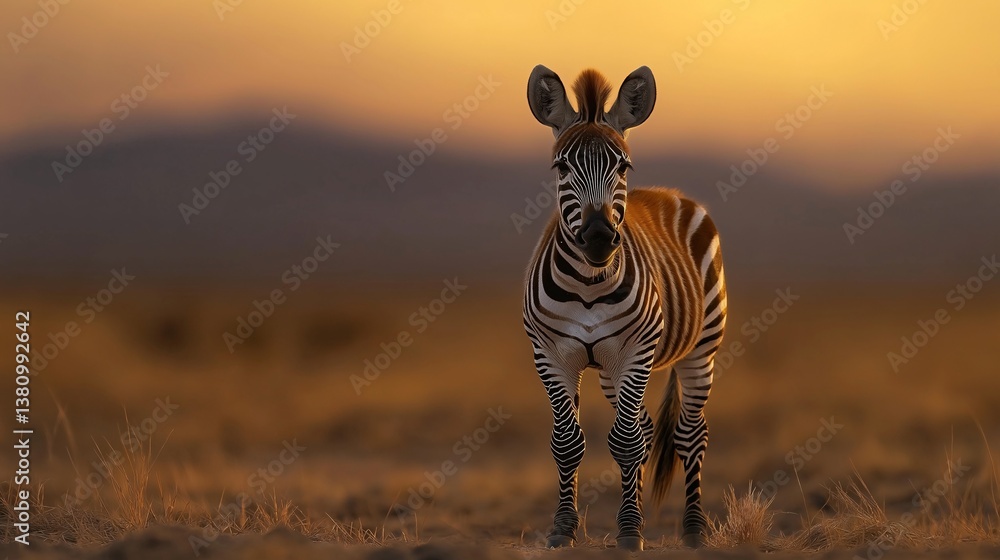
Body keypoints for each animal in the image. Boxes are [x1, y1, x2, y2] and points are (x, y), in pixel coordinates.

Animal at [522, 65, 727, 551]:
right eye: (561, 166)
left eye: (622, 166)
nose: (599, 237)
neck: (588, 285)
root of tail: (669, 193)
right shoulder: (550, 354)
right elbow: (569, 442)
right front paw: (563, 528)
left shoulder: (636, 351)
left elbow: (627, 443)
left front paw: (630, 532)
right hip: (612, 370)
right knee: (647, 428)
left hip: (700, 349)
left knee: (690, 434)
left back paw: (693, 529)